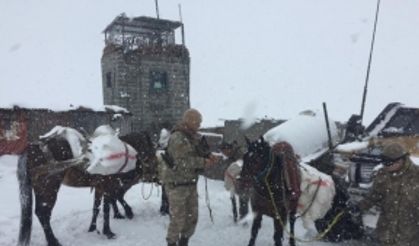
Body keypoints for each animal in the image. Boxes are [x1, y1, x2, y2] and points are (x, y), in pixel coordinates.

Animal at [16, 132, 158, 246]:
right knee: (43, 213)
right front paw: (108, 231)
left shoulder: (99, 188)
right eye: (151, 150)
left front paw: (92, 228)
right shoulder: (108, 186)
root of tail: (31, 149)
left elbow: (96, 208)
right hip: (49, 189)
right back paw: (53, 241)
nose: (154, 171)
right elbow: (107, 208)